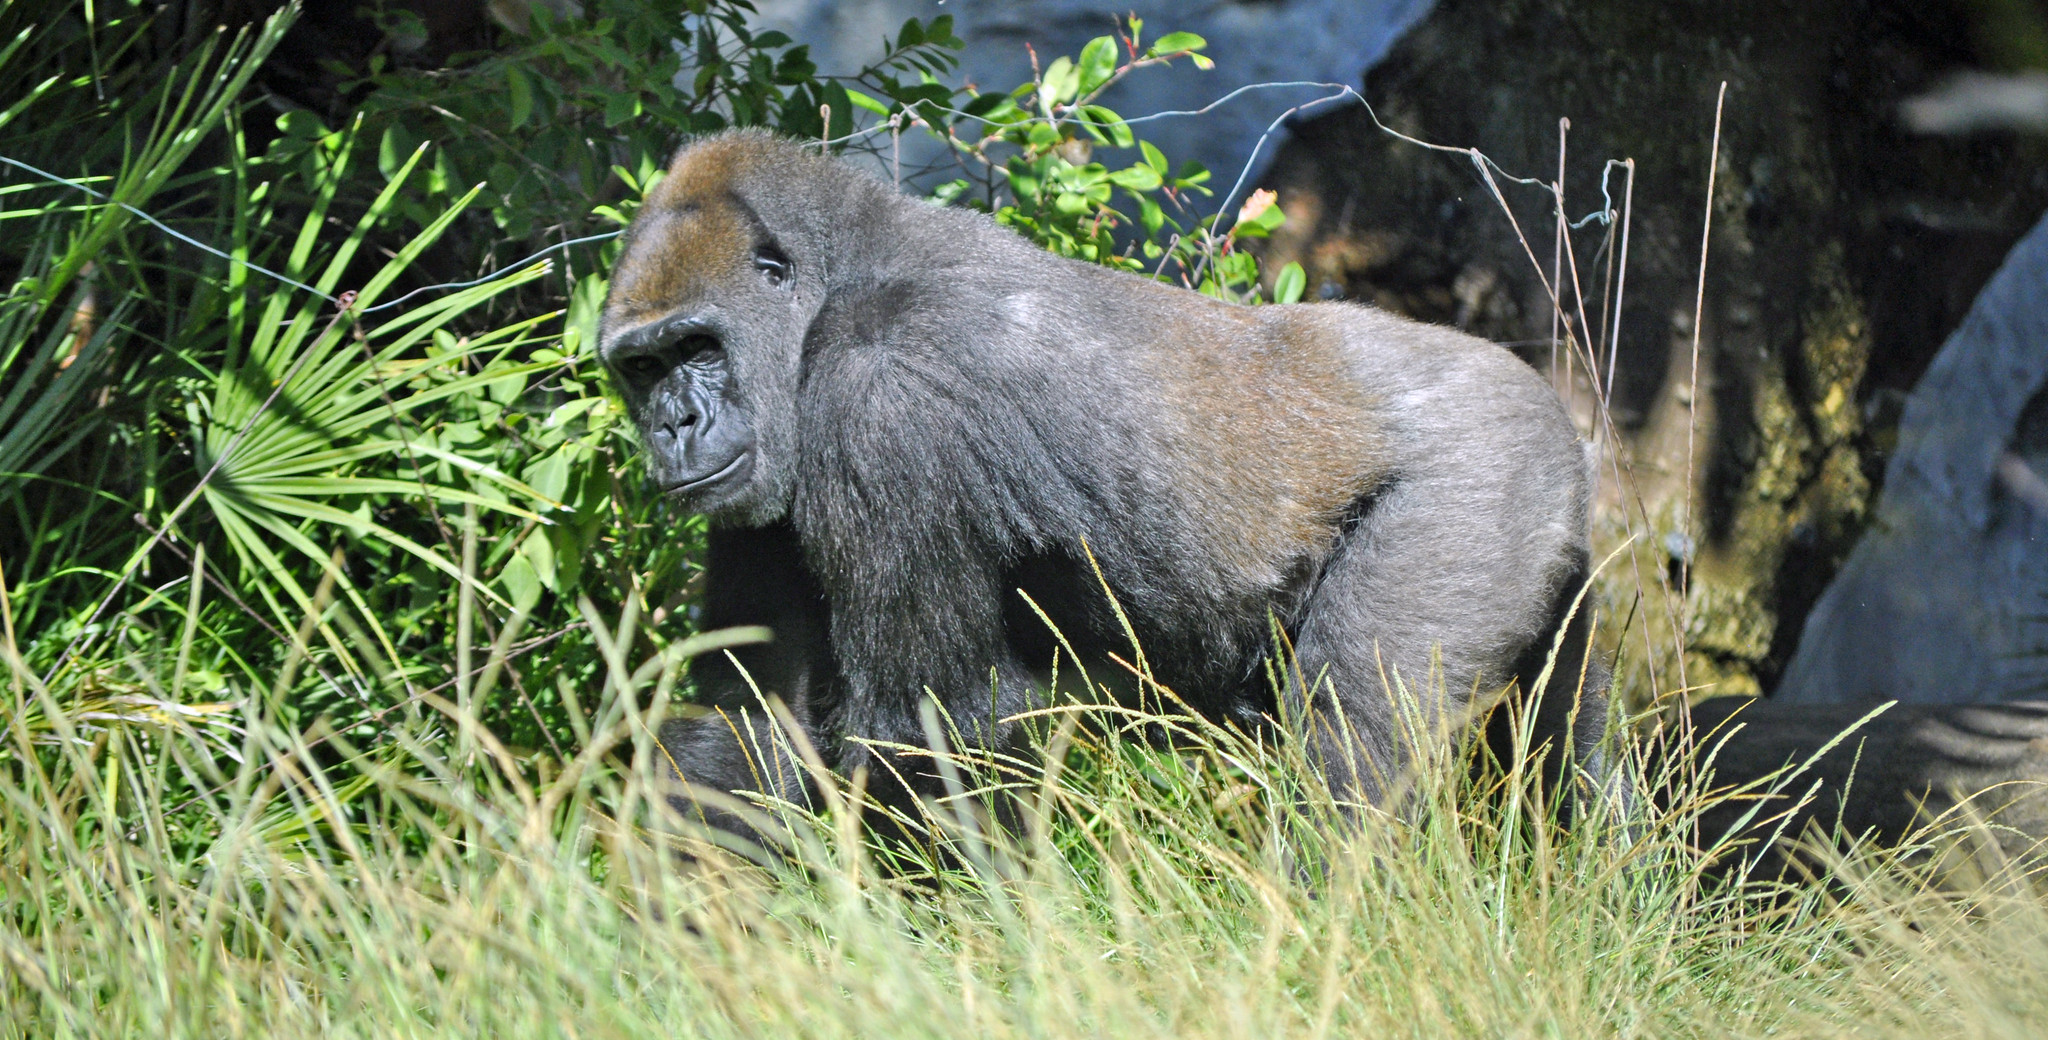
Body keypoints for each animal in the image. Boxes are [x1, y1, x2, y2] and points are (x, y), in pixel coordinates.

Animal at [598, 127, 1605, 843]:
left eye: (698, 347)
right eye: (643, 369)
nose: (674, 427)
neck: (839, 276)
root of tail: (1548, 408)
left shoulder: (882, 390)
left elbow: (929, 737)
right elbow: (748, 722)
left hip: (1477, 476)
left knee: (1356, 734)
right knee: (1577, 759)